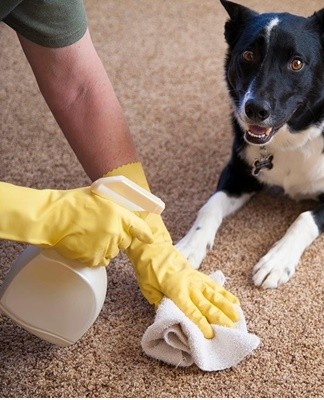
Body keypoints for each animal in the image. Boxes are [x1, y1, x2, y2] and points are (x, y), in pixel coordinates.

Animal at [176, 0, 324, 288]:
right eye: (248, 55)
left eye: (297, 63)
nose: (255, 109)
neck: (292, 140)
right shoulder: (238, 172)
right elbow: (210, 206)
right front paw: (189, 245)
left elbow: (304, 219)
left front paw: (278, 260)